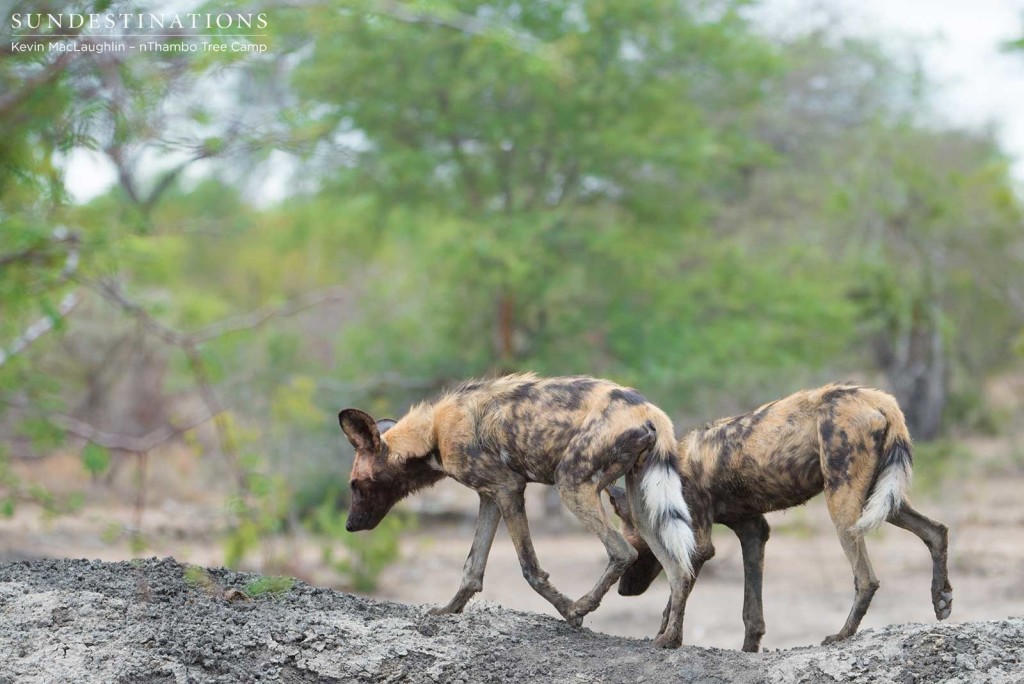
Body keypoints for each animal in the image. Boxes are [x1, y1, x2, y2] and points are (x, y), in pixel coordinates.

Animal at [335, 374, 696, 630]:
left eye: (355, 484)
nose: (349, 525)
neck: (433, 432)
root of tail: (648, 409)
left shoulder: (508, 489)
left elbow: (530, 568)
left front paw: (569, 613)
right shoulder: (490, 497)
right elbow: (472, 569)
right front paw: (448, 611)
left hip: (571, 486)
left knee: (623, 551)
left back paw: (583, 604)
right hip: (641, 505)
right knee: (679, 571)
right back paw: (667, 641)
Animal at [606, 385, 950, 651]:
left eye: (640, 548)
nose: (622, 591)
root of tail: (877, 398)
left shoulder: (701, 546)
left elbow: (676, 592)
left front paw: (668, 638)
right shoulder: (753, 531)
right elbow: (751, 613)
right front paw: (748, 650)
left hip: (843, 509)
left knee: (866, 579)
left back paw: (842, 635)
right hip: (880, 500)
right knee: (936, 531)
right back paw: (941, 598)